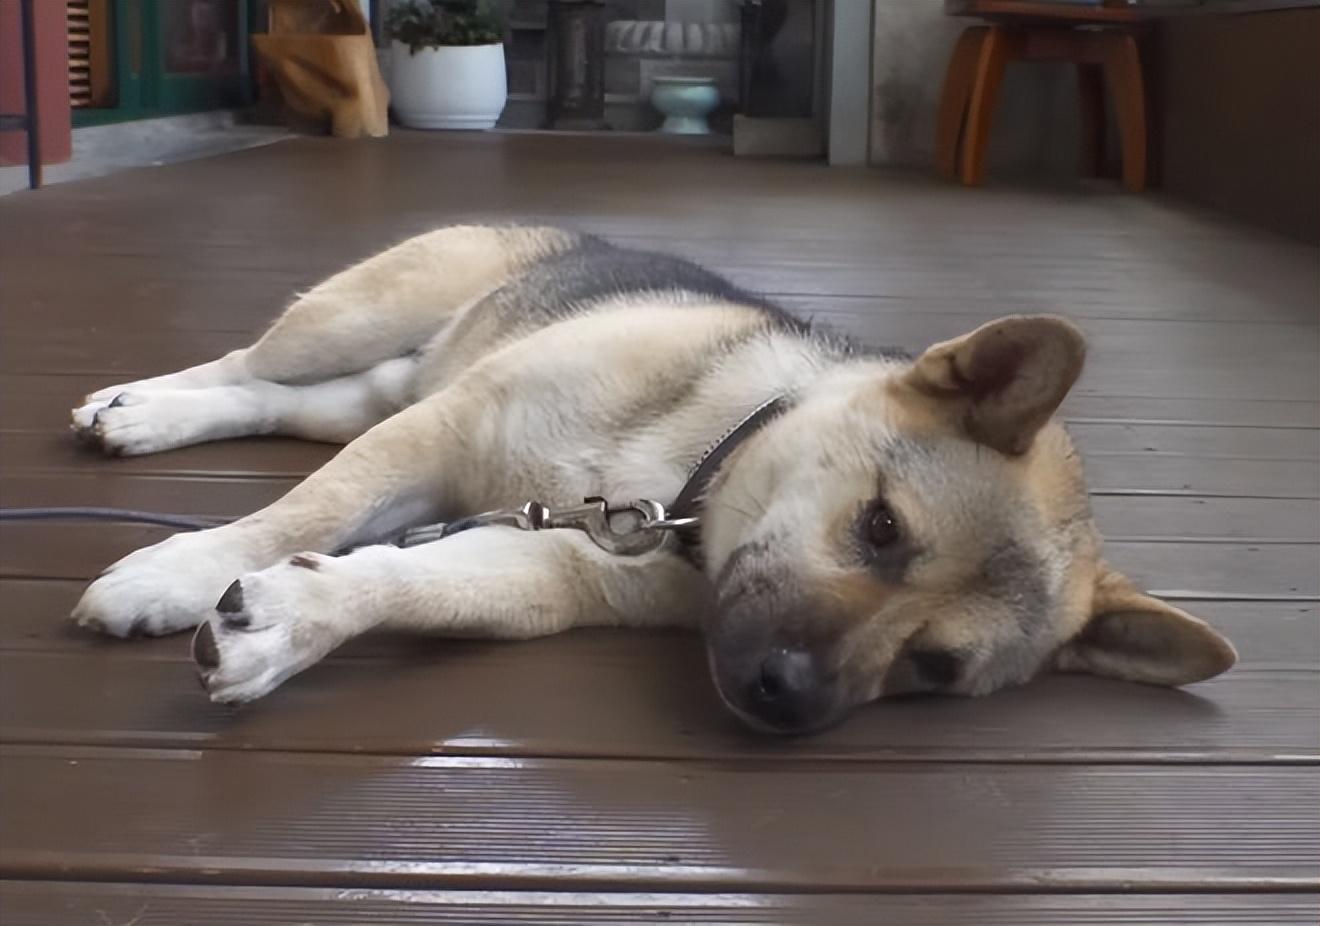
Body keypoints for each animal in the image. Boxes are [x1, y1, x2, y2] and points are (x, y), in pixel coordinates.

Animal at [64, 224, 1235, 733]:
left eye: (935, 668)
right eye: (881, 527)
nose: (787, 701)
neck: (686, 487)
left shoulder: (547, 565)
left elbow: (408, 580)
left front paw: (299, 621)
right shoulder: (442, 434)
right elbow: (303, 511)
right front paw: (178, 571)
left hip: (369, 392)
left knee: (280, 401)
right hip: (355, 318)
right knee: (245, 364)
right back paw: (139, 403)